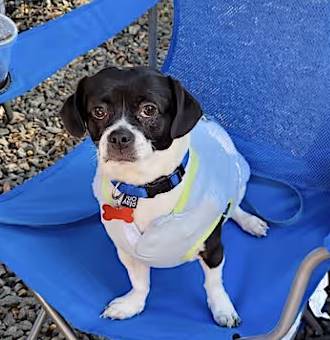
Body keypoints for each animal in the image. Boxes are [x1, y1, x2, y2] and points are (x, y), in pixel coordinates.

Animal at [61, 65, 268, 326]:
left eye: (149, 109)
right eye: (99, 111)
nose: (119, 136)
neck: (144, 188)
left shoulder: (213, 250)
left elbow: (214, 283)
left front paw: (222, 308)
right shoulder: (127, 252)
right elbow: (140, 283)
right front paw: (132, 305)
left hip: (238, 177)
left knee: (233, 206)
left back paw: (250, 222)